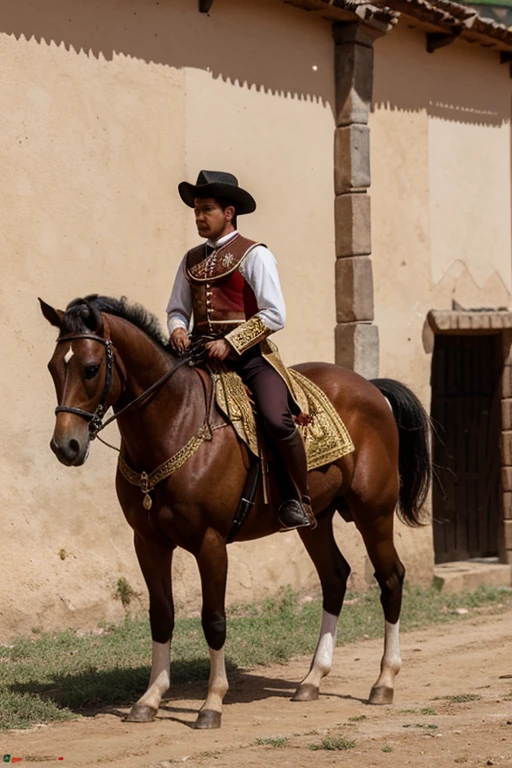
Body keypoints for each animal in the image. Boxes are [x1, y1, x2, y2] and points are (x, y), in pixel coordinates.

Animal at [41, 296, 432, 728]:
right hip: (314, 519)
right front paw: (149, 698)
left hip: (372, 511)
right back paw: (312, 678)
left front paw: (212, 701)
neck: (175, 421)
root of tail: (370, 387)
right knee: (334, 578)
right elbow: (161, 616)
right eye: (54, 367)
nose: (65, 446)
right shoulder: (148, 543)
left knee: (390, 579)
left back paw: (384, 680)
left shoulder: (210, 542)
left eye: (91, 368)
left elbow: (214, 620)